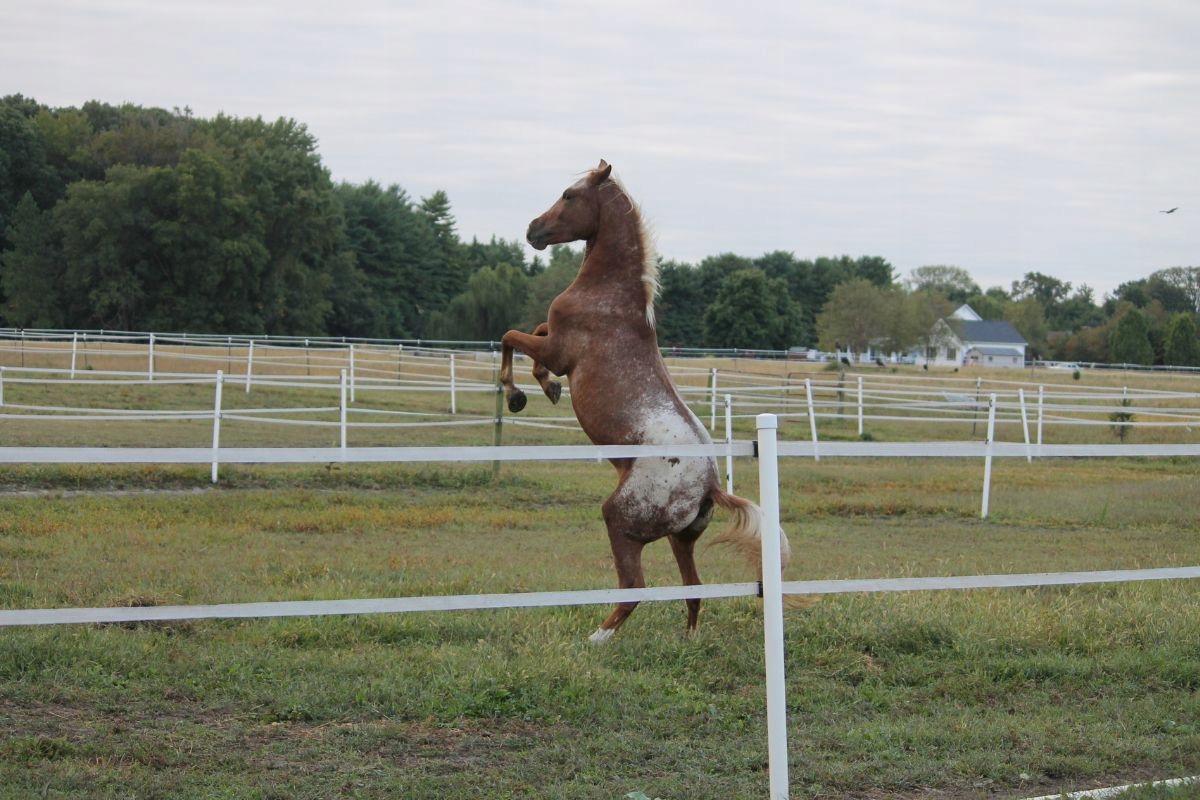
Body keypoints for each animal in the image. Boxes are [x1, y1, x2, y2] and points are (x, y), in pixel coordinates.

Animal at [499, 160, 790, 642]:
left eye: (569, 195)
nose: (533, 229)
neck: (611, 297)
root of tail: (710, 487)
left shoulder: (559, 350)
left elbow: (511, 337)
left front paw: (518, 394)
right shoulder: (553, 342)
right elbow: (532, 333)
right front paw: (547, 389)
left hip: (621, 521)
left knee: (635, 588)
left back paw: (597, 638)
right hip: (679, 540)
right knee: (694, 590)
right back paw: (687, 640)